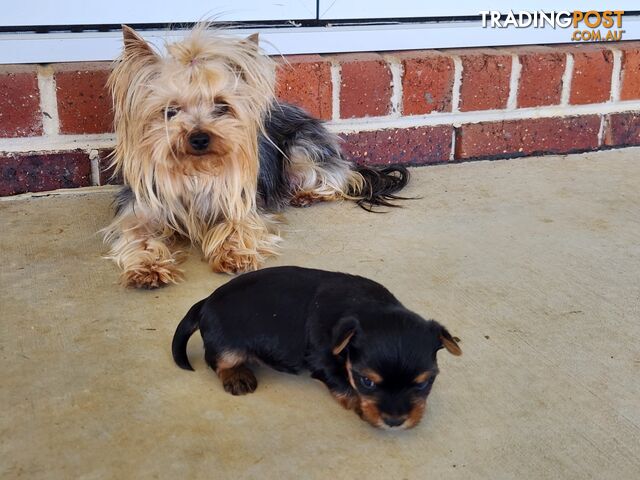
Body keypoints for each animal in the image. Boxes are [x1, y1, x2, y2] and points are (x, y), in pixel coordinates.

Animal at [170, 266, 460, 428]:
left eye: (423, 383)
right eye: (366, 381)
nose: (395, 421)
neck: (362, 305)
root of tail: (205, 302)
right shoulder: (322, 360)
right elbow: (343, 384)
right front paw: (361, 407)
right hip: (229, 346)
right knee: (217, 360)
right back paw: (237, 376)